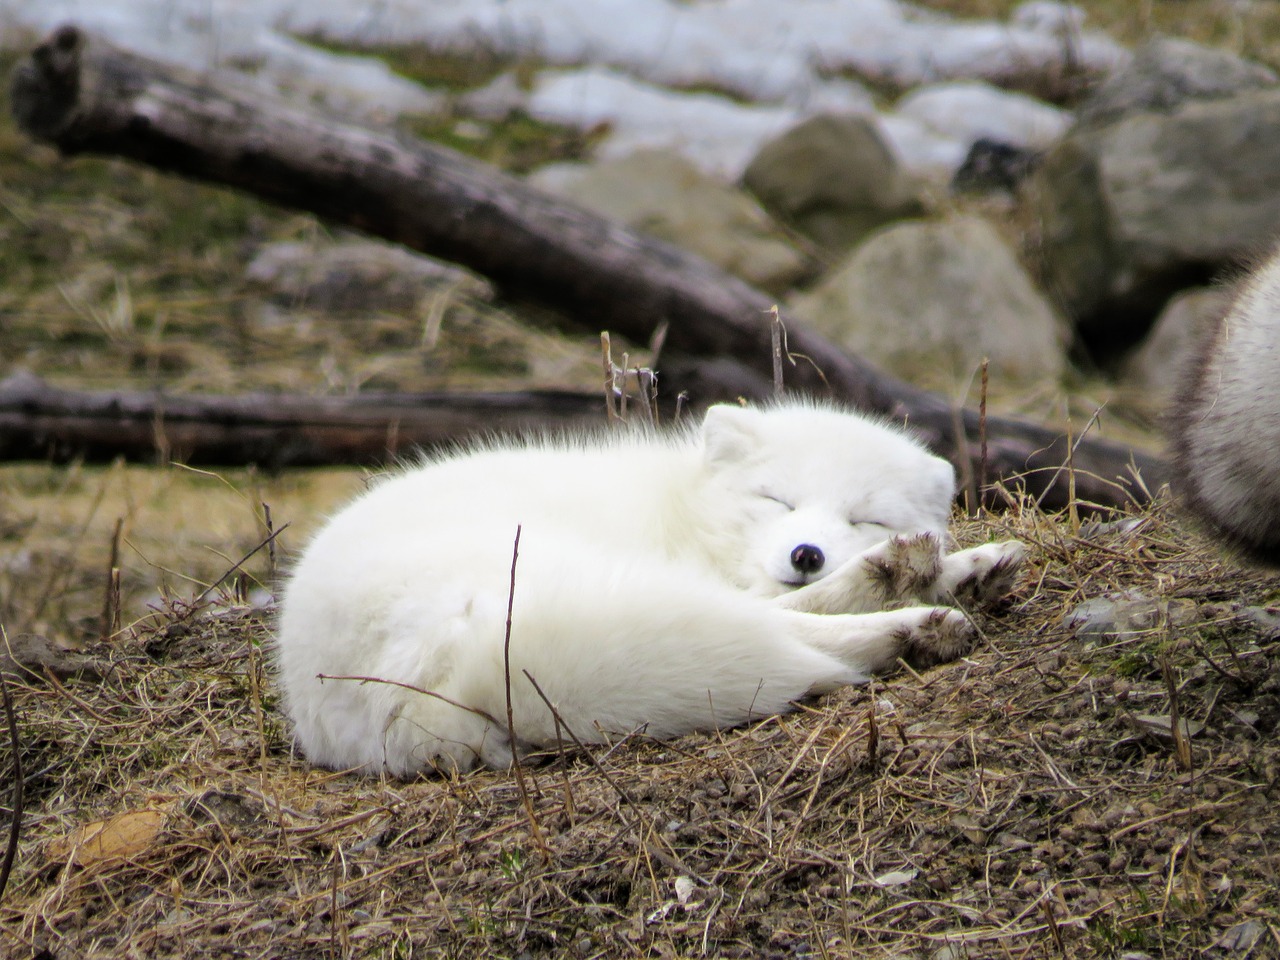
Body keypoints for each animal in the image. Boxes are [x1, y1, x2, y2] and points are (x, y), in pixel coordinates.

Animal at [275, 399, 1024, 783]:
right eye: (776, 500)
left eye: (863, 516)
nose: (806, 554)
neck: (682, 506)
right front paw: (915, 574)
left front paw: (959, 563)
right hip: (569, 571)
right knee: (777, 626)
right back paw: (908, 604)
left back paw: (943, 586)